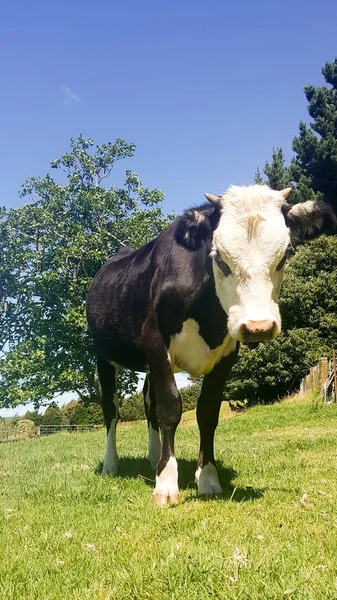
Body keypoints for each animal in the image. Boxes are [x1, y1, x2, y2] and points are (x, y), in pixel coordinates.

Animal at [85, 185, 334, 504]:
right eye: (219, 257)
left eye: (285, 254)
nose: (259, 326)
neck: (209, 319)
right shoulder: (155, 342)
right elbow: (170, 408)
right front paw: (166, 484)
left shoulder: (227, 353)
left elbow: (207, 412)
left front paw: (207, 478)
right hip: (103, 356)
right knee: (111, 409)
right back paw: (111, 465)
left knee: (148, 403)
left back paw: (154, 458)